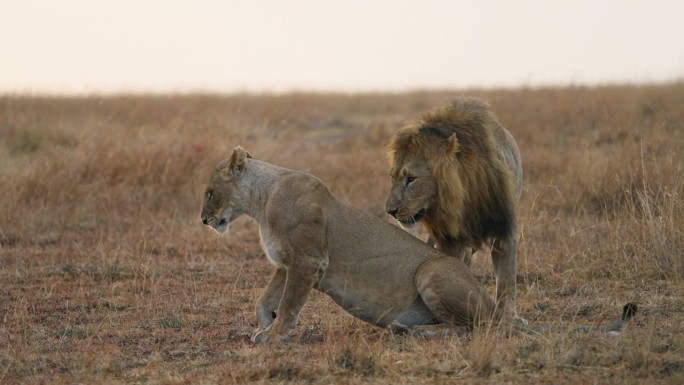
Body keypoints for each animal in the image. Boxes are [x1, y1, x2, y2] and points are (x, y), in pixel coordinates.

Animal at [199, 146, 636, 342]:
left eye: (207, 192)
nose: (203, 219)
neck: (260, 201)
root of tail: (494, 305)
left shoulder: (308, 261)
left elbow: (289, 304)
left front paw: (273, 335)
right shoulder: (286, 263)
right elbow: (266, 298)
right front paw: (265, 323)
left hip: (432, 271)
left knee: (475, 328)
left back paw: (417, 332)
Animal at [384, 96, 524, 320]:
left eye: (411, 179)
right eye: (393, 178)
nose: (390, 211)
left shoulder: (504, 226)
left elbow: (507, 278)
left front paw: (509, 315)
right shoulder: (449, 238)